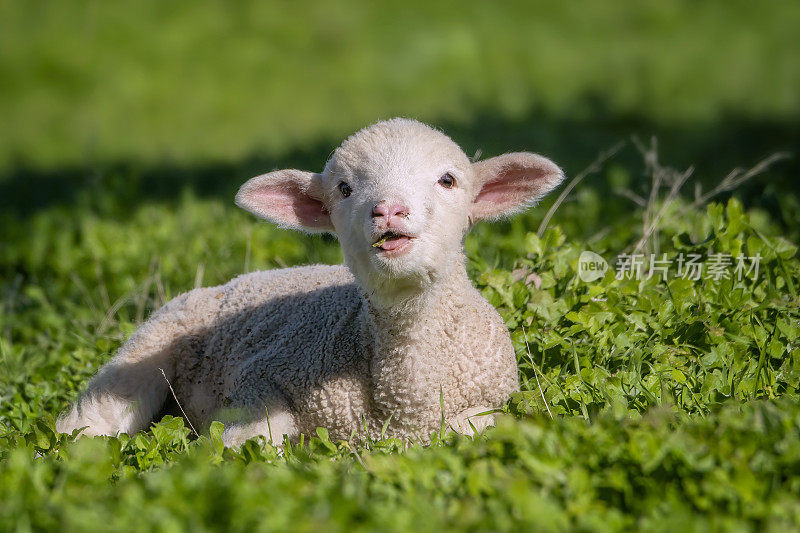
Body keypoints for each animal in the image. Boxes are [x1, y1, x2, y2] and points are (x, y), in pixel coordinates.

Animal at [54, 117, 564, 444]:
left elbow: (471, 427)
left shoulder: (493, 399)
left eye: (448, 180)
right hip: (144, 351)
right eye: (344, 188)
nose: (389, 211)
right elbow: (254, 440)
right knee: (89, 425)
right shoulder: (260, 379)